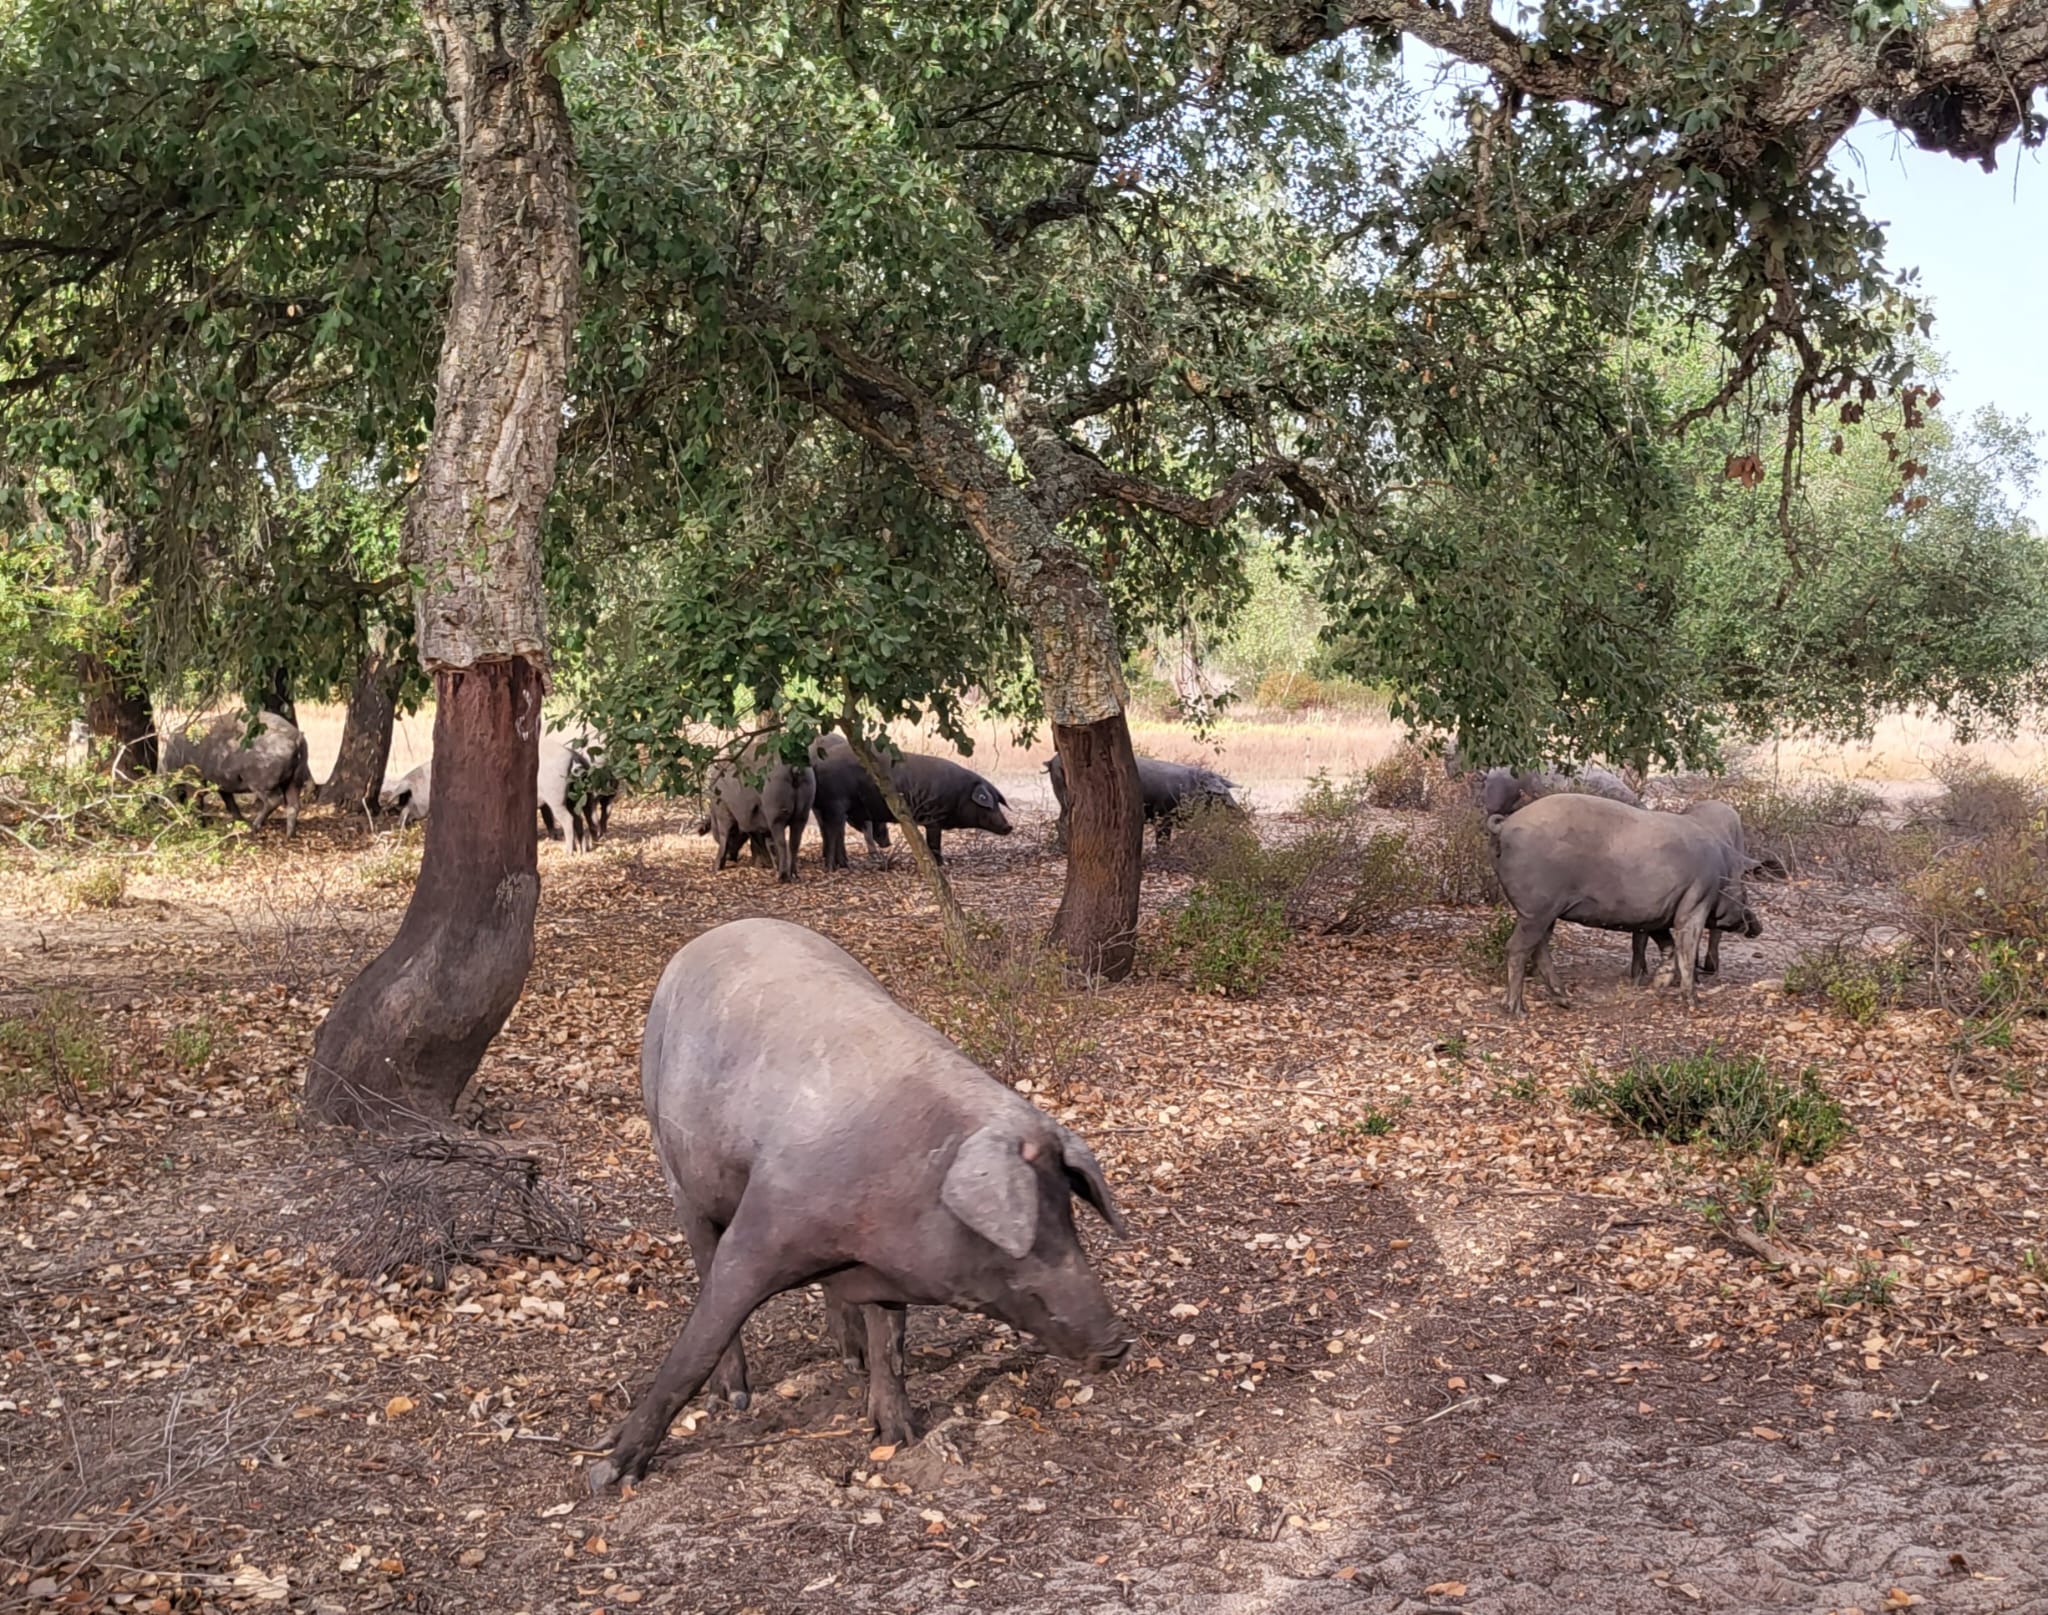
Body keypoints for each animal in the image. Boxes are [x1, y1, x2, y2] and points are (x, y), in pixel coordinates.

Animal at [161, 708, 311, 839]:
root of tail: (296, 737)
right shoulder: (221, 784)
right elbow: (229, 803)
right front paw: (238, 822)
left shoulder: (195, 779)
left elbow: (197, 801)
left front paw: (199, 826)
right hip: (295, 781)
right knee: (294, 805)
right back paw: (289, 835)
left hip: (261, 783)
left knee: (274, 800)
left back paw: (254, 827)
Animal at [589, 921, 1138, 1490]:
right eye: (1024, 1238)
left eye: (1068, 1216)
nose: (1119, 1344)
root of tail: (710, 935)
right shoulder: (758, 1233)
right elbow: (696, 1346)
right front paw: (607, 1473)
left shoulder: (883, 1268)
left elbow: (890, 1342)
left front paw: (899, 1436)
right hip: (673, 1163)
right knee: (701, 1255)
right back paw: (733, 1395)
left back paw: (849, 1359)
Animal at [1048, 753, 1236, 851]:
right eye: (1219, 795)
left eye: (1228, 792)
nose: (1239, 812)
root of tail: (1052, 761)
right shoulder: (1163, 816)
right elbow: (1162, 840)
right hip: (1067, 797)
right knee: (1064, 821)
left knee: (1059, 820)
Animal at [1490, 790, 1761, 1015]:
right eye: (1745, 895)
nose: (1758, 926)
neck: (1721, 877)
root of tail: (1506, 825)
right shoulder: (1695, 903)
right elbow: (1686, 947)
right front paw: (1694, 1002)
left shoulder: (1658, 916)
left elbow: (1669, 947)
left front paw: (1657, 985)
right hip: (1538, 908)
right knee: (1517, 948)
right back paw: (1517, 1009)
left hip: (1544, 912)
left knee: (1539, 948)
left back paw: (1565, 1000)